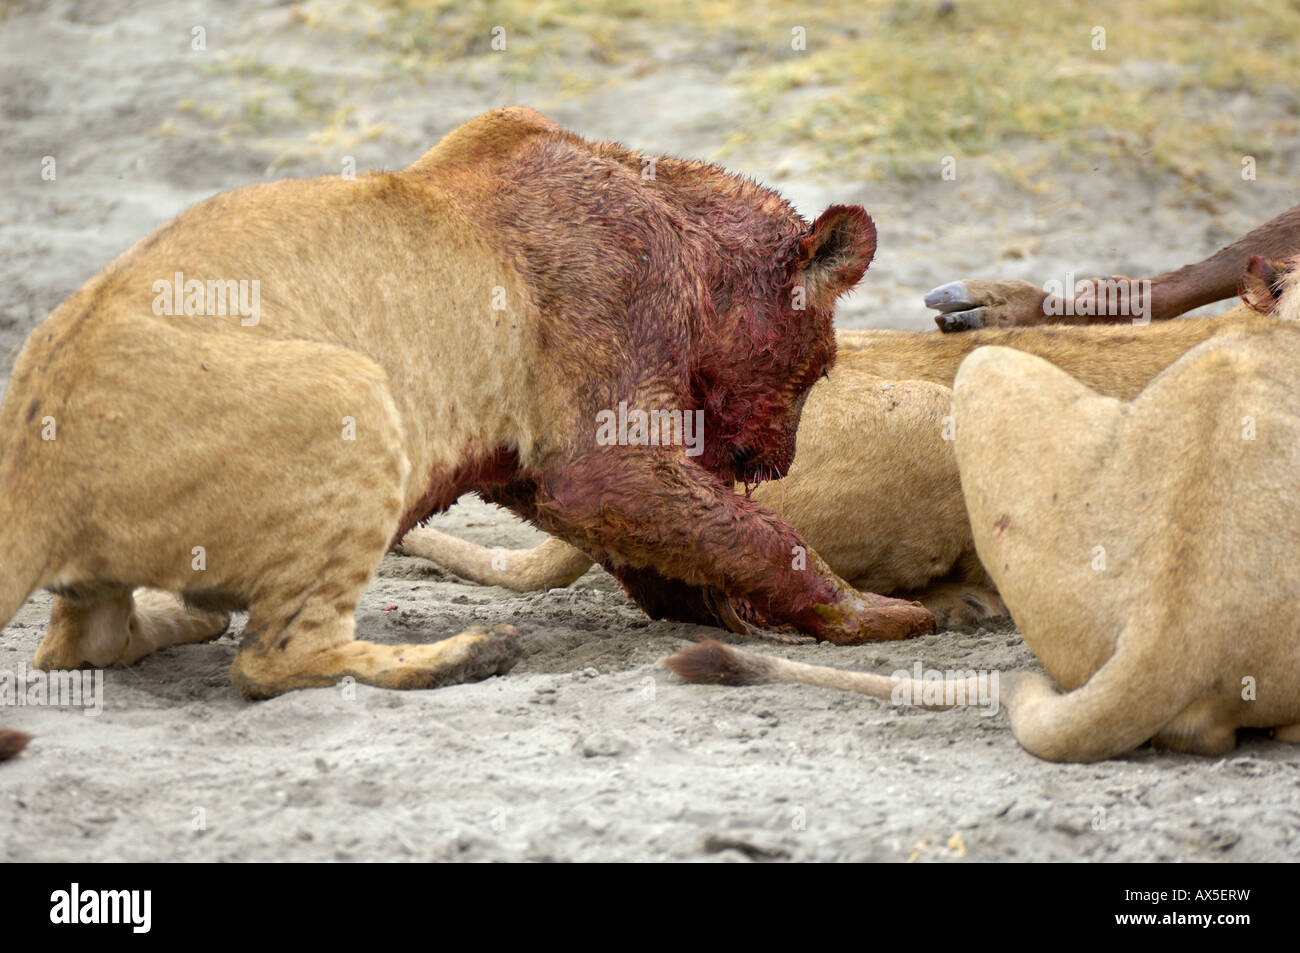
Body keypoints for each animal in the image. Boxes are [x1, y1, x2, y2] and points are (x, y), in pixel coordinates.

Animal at [0, 106, 936, 708]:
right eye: (822, 365)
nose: (778, 460)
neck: (680, 227)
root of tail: (33, 466)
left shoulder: (527, 464)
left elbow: (675, 543)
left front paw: (721, 612)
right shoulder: (601, 443)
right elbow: (754, 533)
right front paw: (870, 613)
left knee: (78, 643)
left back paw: (179, 618)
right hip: (353, 397)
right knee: (271, 662)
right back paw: (463, 656)